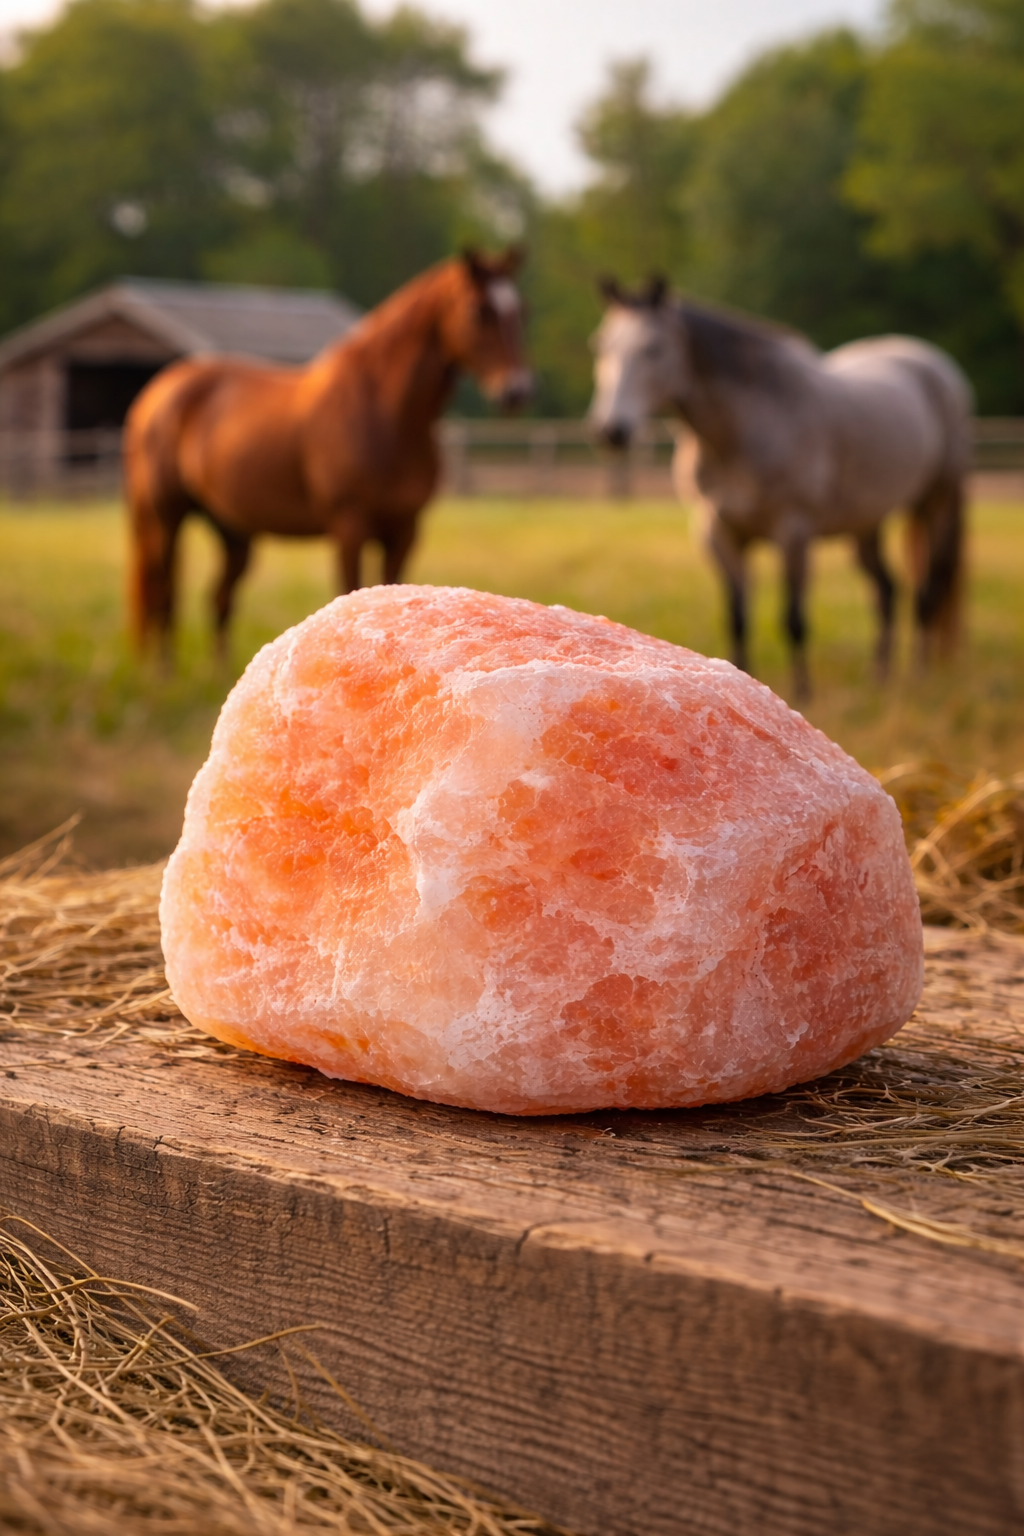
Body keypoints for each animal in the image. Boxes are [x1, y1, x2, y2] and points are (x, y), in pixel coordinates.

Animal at [124, 248, 532, 658]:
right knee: (163, 596)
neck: (382, 414)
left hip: (232, 530)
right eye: (479, 310)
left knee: (219, 599)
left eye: (520, 312)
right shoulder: (348, 526)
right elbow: (349, 594)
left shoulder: (404, 530)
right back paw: (162, 669)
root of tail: (157, 394)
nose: (515, 392)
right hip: (166, 517)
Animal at [588, 276, 971, 698]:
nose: (611, 431)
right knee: (887, 591)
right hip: (865, 526)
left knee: (929, 591)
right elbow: (737, 617)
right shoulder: (719, 532)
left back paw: (921, 673)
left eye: (653, 348)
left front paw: (803, 691)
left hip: (936, 503)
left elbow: (793, 618)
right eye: (601, 346)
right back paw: (880, 675)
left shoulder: (794, 532)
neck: (745, 428)